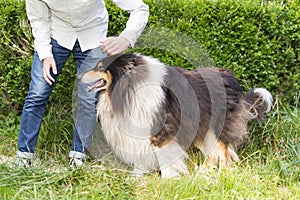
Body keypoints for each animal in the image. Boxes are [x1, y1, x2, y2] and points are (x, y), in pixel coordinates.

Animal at [79, 53, 272, 178]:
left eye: (100, 67)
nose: (79, 76)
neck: (129, 87)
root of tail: (232, 79)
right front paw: (136, 177)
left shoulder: (163, 132)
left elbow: (165, 159)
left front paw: (167, 181)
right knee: (214, 153)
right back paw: (203, 173)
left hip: (217, 127)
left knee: (224, 153)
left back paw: (220, 176)